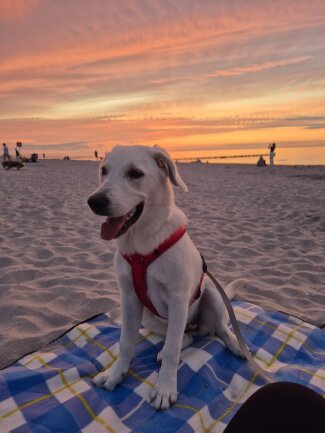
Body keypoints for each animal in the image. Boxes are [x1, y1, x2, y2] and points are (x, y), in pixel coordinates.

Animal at [87, 144, 244, 408]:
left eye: (135, 173)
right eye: (103, 171)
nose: (94, 202)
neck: (142, 247)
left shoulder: (178, 299)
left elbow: (172, 350)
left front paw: (164, 388)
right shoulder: (129, 299)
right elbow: (126, 342)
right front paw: (116, 374)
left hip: (211, 294)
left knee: (218, 327)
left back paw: (236, 344)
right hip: (151, 318)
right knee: (185, 336)